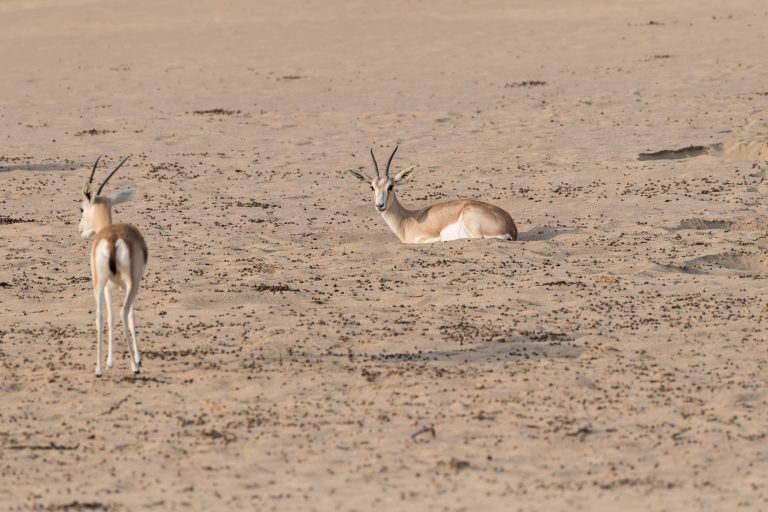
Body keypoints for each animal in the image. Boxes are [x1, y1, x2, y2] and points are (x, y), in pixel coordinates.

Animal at [79, 155, 148, 377]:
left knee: (101, 316)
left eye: (82, 208)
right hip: (130, 283)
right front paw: (137, 359)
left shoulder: (108, 286)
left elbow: (108, 316)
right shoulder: (133, 283)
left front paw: (109, 362)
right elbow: (131, 315)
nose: (80, 229)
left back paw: (99, 369)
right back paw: (134, 367)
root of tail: (112, 238)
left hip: (99, 283)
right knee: (124, 313)